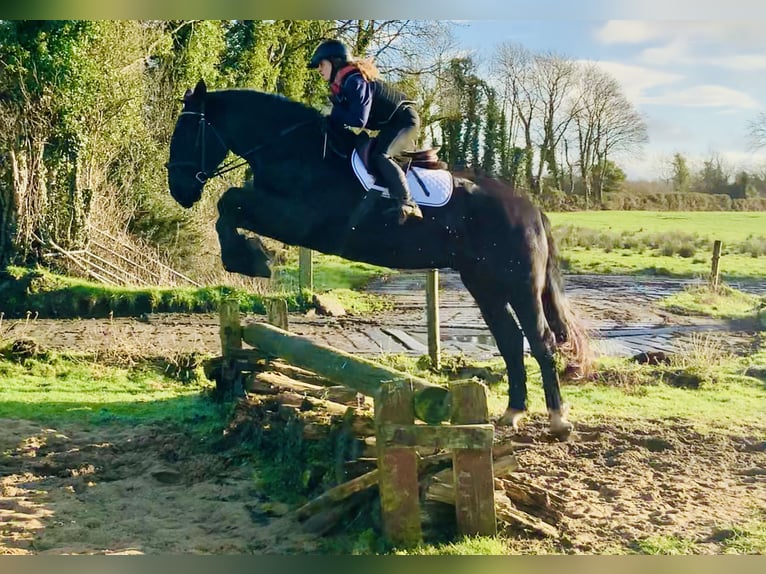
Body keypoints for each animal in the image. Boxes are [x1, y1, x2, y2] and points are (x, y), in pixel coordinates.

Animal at [166, 77, 588, 436]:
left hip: (519, 285)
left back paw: (558, 420)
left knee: (540, 341)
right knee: (510, 340)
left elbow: (229, 201)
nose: (178, 190)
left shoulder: (297, 218)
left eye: (187, 132)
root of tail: (530, 209)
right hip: (484, 284)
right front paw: (249, 256)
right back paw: (513, 413)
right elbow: (229, 205)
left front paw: (250, 257)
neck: (293, 149)